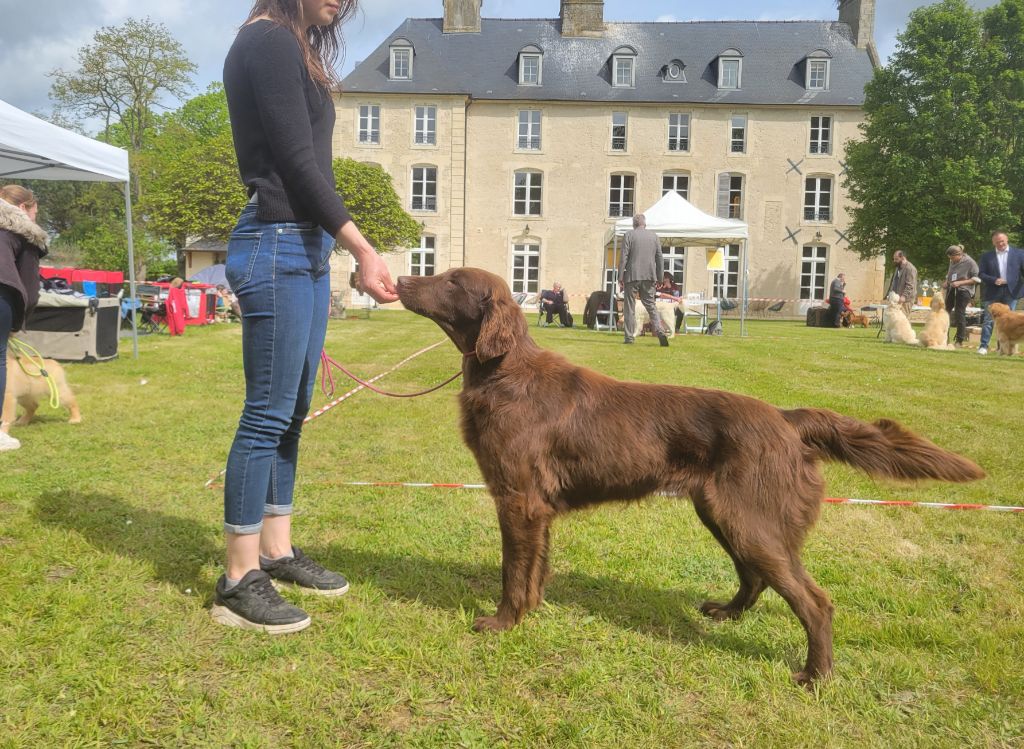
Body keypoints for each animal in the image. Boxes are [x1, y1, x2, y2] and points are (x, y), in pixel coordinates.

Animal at [397, 270, 983, 684]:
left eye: (453, 281)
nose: (400, 279)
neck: (504, 373)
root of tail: (786, 419)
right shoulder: (537, 508)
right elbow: (535, 569)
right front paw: (532, 612)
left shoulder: (517, 499)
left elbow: (511, 572)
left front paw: (502, 622)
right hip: (724, 514)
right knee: (756, 579)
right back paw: (726, 613)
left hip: (748, 518)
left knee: (814, 600)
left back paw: (815, 676)